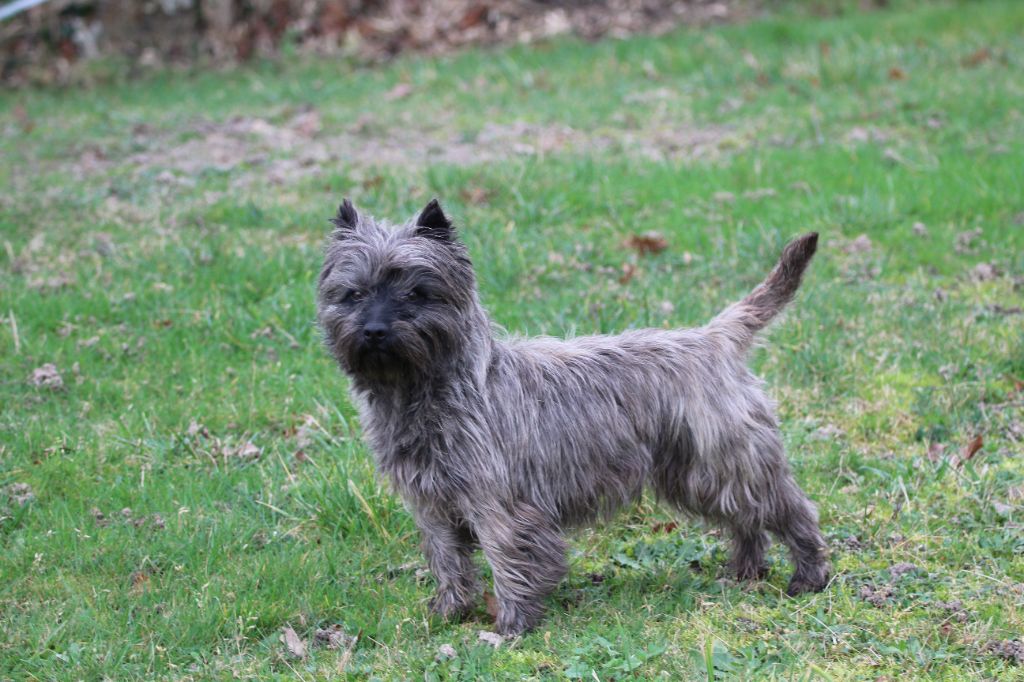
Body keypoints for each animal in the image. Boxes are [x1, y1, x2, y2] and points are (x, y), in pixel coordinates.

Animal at [319, 199, 831, 634]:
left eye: (416, 292)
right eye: (354, 293)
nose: (374, 330)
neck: (427, 391)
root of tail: (714, 338)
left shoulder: (496, 504)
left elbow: (507, 559)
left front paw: (511, 626)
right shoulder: (432, 508)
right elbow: (449, 562)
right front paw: (449, 612)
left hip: (728, 462)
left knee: (790, 509)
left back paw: (809, 576)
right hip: (699, 475)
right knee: (746, 520)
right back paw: (745, 572)